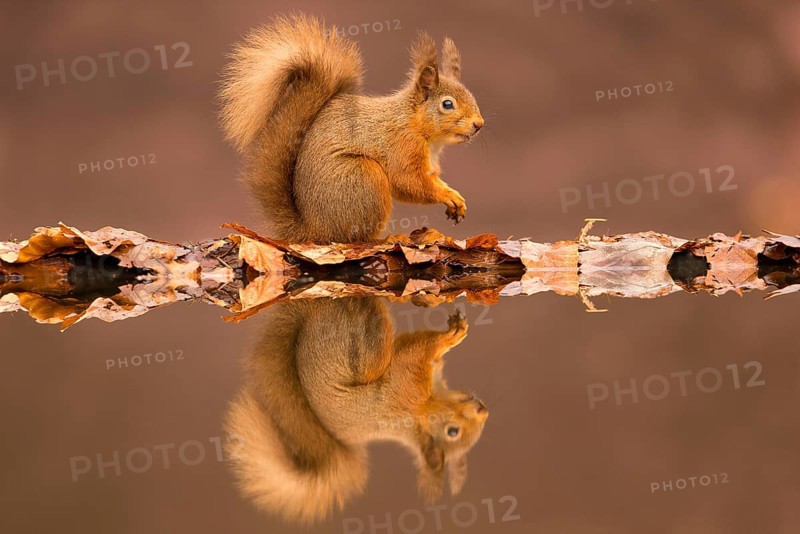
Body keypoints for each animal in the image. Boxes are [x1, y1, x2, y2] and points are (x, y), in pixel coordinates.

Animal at [219, 15, 484, 243]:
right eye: (447, 104)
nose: (479, 124)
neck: (417, 127)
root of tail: (314, 229)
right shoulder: (402, 145)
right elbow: (408, 182)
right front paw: (446, 196)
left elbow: (431, 180)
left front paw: (454, 196)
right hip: (363, 178)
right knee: (356, 237)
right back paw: (387, 239)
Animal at [223, 297, 489, 525]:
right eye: (453, 432)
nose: (482, 409)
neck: (422, 413)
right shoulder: (406, 383)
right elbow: (417, 349)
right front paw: (452, 336)